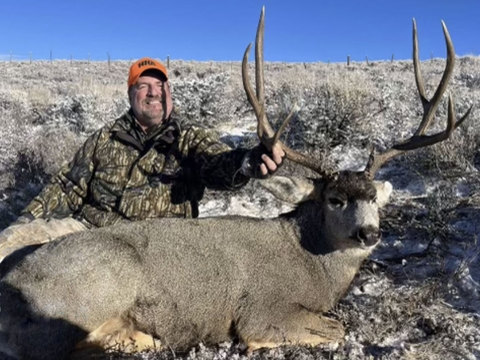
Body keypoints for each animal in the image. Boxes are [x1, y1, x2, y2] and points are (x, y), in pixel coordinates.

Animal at [0, 6, 470, 360]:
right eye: (335, 199)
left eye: (373, 198)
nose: (369, 233)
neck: (312, 263)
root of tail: (10, 287)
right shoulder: (262, 310)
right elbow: (332, 328)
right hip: (93, 290)